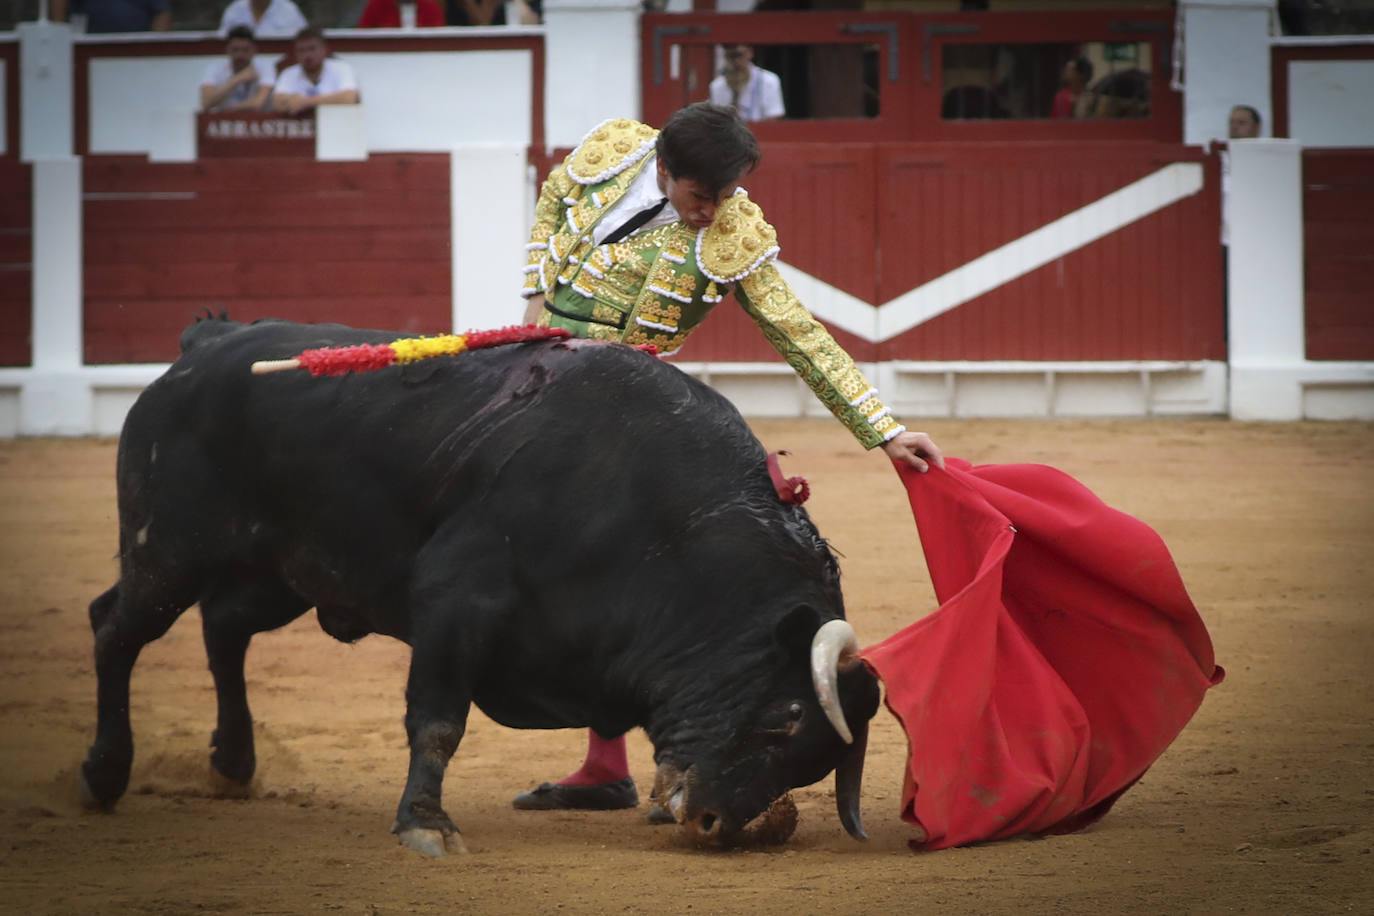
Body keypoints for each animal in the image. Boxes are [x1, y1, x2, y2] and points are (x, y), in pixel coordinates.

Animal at [80, 318, 879, 856]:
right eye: (785, 717)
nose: (713, 824)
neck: (663, 519)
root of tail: (202, 350)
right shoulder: (454, 603)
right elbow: (437, 721)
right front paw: (426, 827)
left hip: (284, 571)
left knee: (224, 626)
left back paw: (232, 765)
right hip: (169, 550)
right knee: (116, 628)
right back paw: (103, 777)